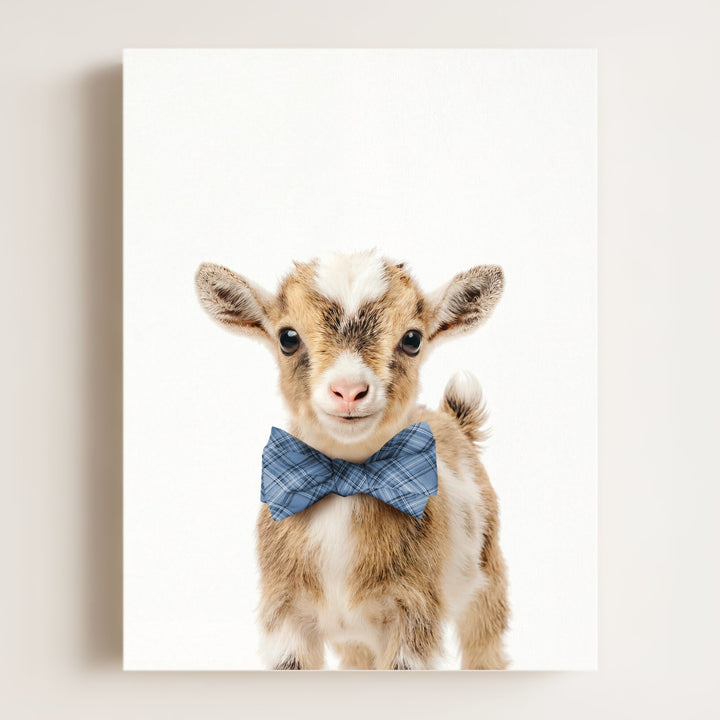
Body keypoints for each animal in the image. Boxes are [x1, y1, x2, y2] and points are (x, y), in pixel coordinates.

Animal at [195, 251, 509, 669]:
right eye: (288, 337)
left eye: (412, 339)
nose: (348, 390)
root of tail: (454, 420)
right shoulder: (285, 613)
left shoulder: (413, 612)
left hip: (488, 576)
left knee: (485, 643)